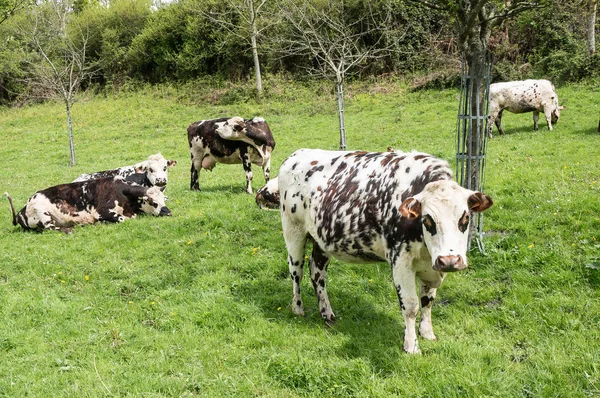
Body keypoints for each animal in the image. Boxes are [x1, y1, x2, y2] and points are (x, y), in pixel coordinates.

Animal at [278, 149, 494, 354]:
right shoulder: (400, 262)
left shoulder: (432, 266)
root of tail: (296, 155)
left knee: (317, 274)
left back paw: (327, 313)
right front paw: (411, 346)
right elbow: (411, 306)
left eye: (465, 218)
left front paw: (427, 333)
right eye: (427, 219)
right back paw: (298, 308)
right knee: (297, 272)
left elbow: (428, 300)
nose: (449, 261)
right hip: (293, 231)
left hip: (320, 240)